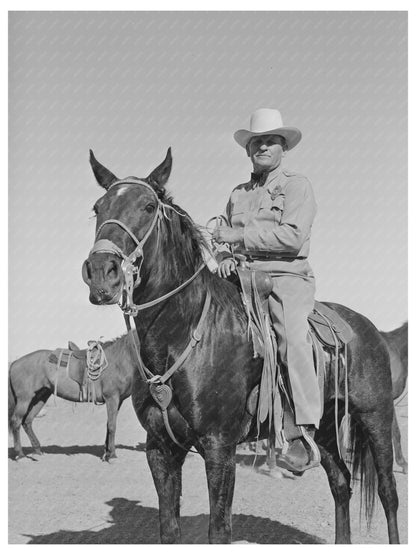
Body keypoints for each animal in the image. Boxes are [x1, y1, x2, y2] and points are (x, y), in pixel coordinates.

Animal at [80, 150, 400, 544]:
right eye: (98, 207)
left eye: (148, 206)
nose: (100, 273)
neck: (183, 335)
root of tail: (369, 330)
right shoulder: (161, 448)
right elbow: (168, 529)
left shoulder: (219, 447)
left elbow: (219, 530)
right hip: (324, 426)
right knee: (341, 482)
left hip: (376, 417)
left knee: (387, 492)